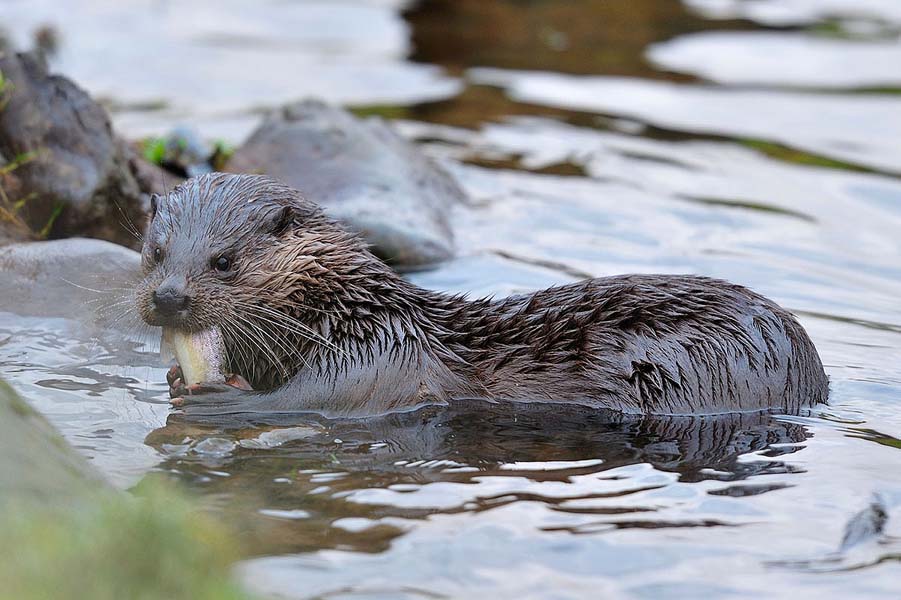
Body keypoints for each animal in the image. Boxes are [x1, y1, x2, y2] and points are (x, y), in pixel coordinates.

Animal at [136, 173, 829, 416]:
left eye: (224, 261)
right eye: (155, 253)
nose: (168, 298)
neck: (348, 309)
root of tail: (814, 375)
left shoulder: (381, 354)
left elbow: (321, 399)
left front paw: (223, 399)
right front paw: (176, 379)